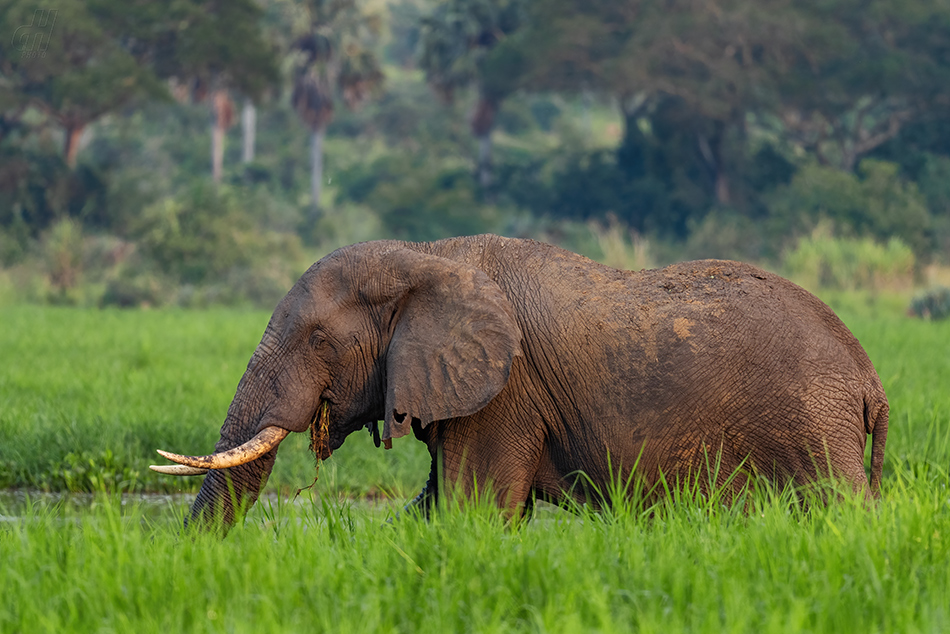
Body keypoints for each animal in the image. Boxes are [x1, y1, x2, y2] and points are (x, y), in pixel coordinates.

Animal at [152, 235, 888, 524]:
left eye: (318, 341)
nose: (188, 557)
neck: (425, 255)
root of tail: (868, 376)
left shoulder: (505, 394)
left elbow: (473, 510)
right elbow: (434, 510)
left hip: (811, 422)